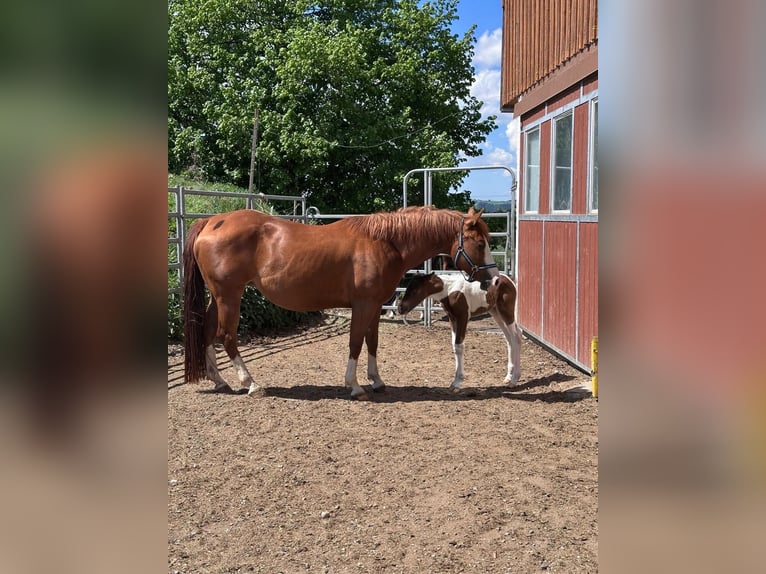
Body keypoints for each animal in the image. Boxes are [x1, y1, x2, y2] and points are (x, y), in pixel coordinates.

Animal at [183, 206, 499, 400]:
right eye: (480, 243)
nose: (493, 279)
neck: (385, 242)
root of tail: (211, 222)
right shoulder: (363, 304)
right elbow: (355, 342)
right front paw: (355, 386)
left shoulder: (375, 305)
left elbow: (372, 342)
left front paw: (376, 380)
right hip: (229, 295)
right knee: (226, 336)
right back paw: (250, 383)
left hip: (218, 296)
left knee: (208, 331)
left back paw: (219, 380)